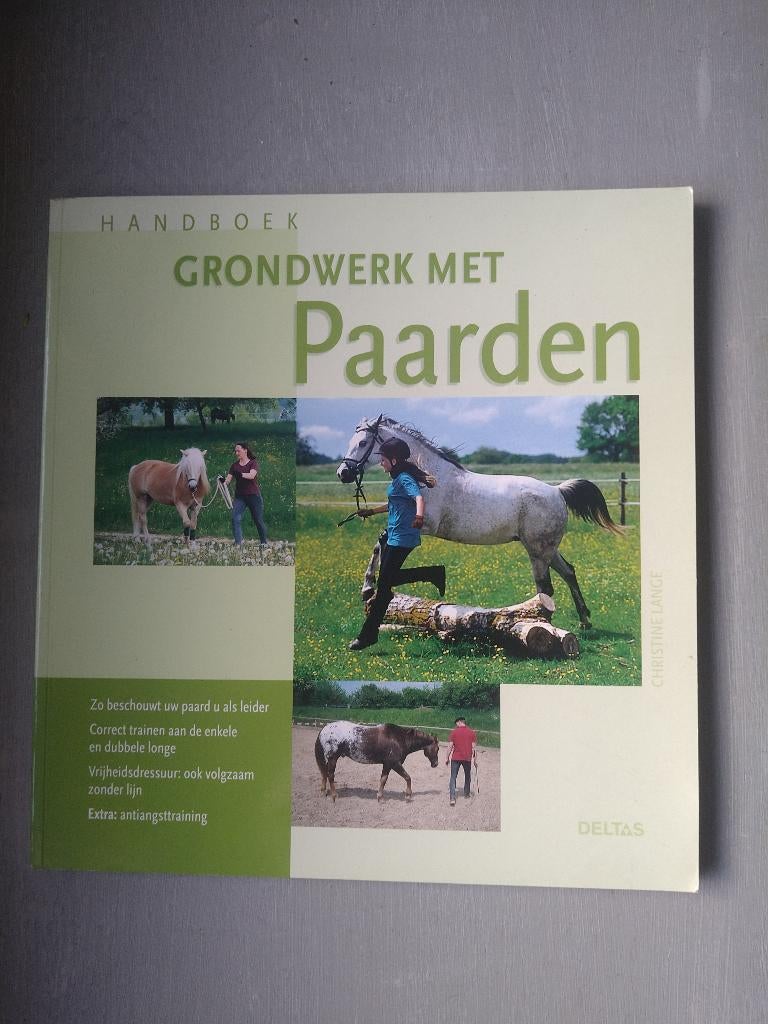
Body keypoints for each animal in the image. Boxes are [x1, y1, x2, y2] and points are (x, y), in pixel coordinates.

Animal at [337, 416, 622, 628]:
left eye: (363, 443)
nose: (343, 473)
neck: (425, 477)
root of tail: (557, 491)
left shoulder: (422, 525)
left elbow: (384, 540)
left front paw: (368, 588)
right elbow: (381, 542)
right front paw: (370, 589)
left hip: (538, 551)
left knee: (546, 587)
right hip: (547, 549)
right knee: (569, 572)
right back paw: (584, 621)